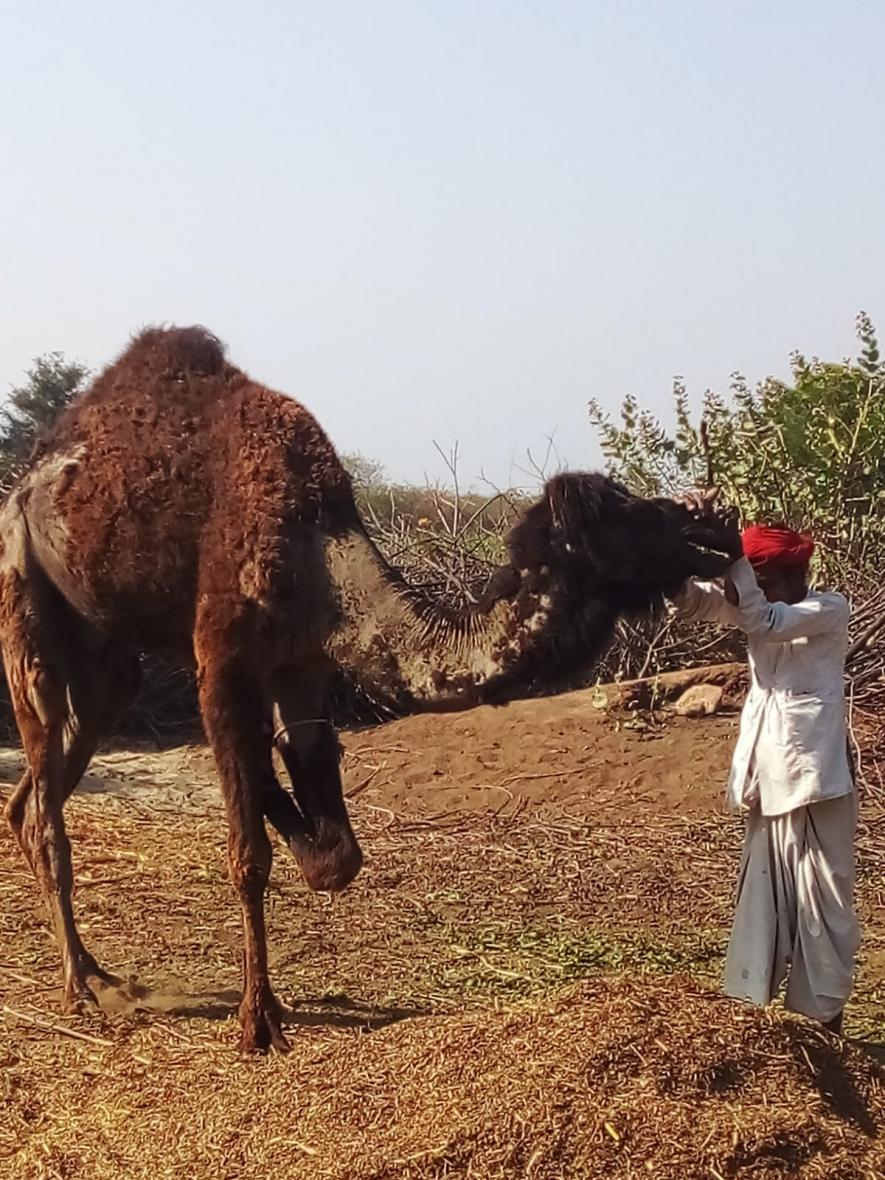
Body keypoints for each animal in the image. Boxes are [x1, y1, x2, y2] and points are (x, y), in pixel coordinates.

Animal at [0, 326, 733, 1052]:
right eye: (630, 518)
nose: (712, 524)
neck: (318, 551)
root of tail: (30, 481)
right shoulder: (223, 662)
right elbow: (249, 855)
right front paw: (258, 1020)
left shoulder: (302, 664)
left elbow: (336, 850)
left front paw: (293, 821)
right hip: (21, 585)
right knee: (43, 769)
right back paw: (78, 986)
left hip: (104, 651)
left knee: (51, 771)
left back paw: (97, 970)